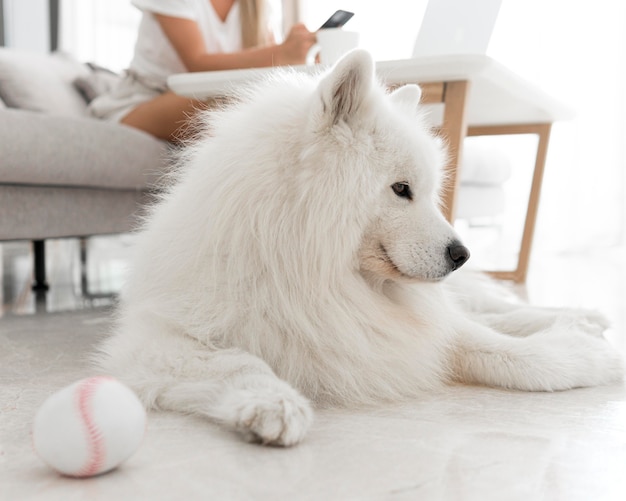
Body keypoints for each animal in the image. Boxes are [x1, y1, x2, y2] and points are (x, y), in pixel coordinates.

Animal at [96, 49, 620, 442]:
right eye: (402, 189)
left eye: (429, 191)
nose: (461, 254)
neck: (309, 271)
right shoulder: (154, 341)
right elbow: (238, 361)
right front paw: (272, 402)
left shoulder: (414, 328)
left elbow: (502, 350)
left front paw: (587, 355)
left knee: (494, 308)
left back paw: (582, 317)